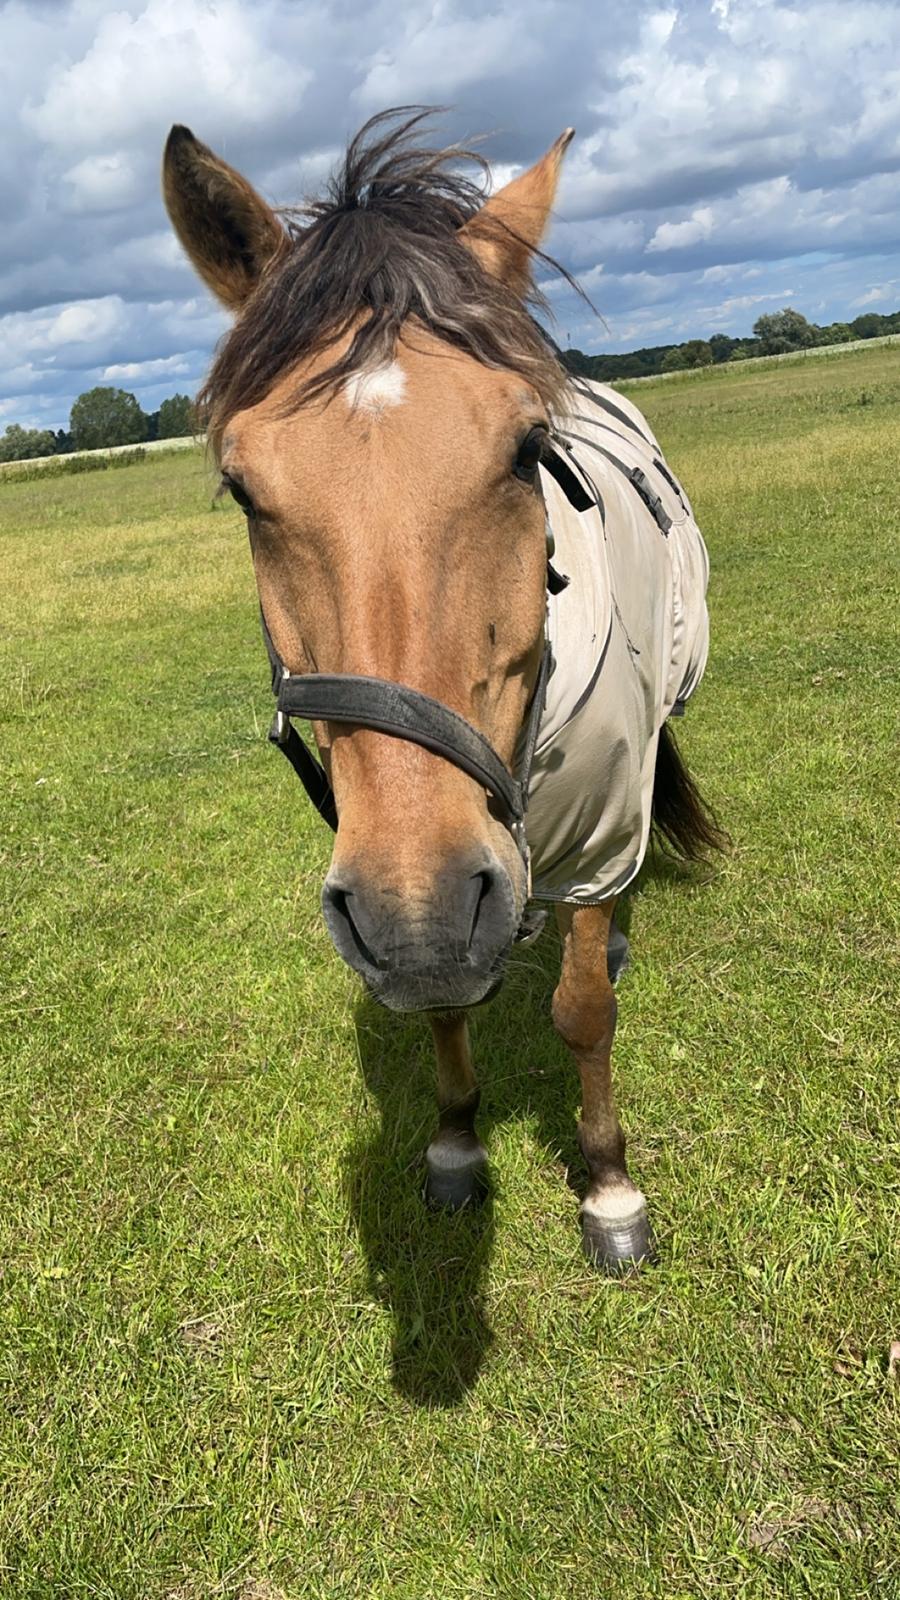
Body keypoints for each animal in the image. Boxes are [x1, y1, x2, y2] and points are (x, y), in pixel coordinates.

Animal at [160, 103, 720, 1273]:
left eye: (526, 448)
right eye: (242, 489)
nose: (418, 918)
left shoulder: (602, 824)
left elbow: (583, 1009)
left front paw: (609, 1185)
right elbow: (441, 1010)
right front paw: (457, 1143)